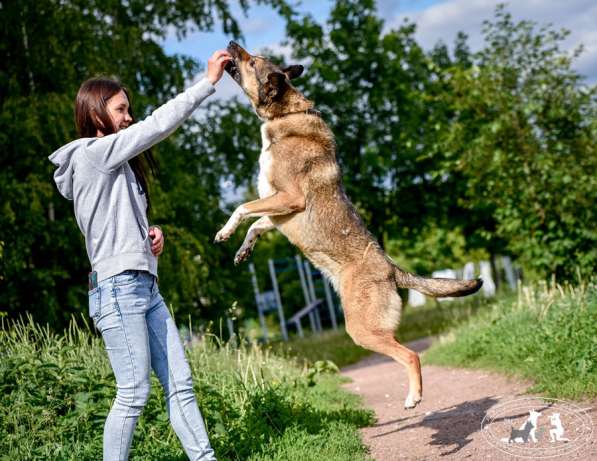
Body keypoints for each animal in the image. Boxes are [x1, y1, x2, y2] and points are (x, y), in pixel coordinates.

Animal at [214, 41, 480, 408]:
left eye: (251, 61)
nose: (230, 44)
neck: (286, 116)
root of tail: (390, 268)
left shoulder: (289, 198)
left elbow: (242, 208)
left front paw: (223, 231)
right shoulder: (278, 211)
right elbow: (254, 225)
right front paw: (242, 250)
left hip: (362, 329)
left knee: (411, 355)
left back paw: (413, 397)